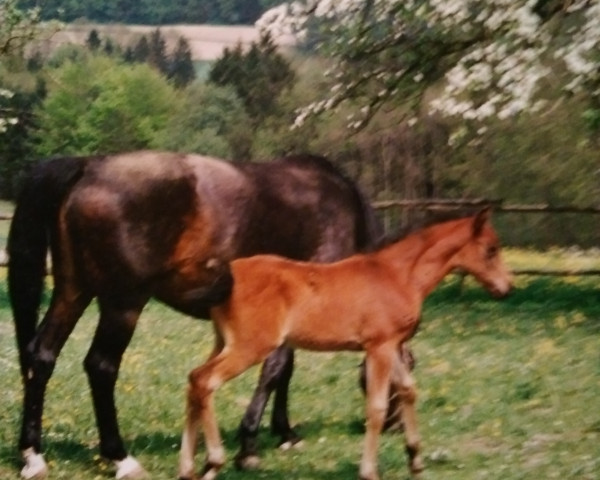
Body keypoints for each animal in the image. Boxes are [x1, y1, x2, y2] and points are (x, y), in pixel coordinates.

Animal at [7, 151, 382, 480]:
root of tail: (89, 165)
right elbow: (276, 369)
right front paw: (250, 446)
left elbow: (283, 370)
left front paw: (284, 432)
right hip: (122, 303)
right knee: (101, 366)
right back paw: (121, 458)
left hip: (73, 291)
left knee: (41, 356)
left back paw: (33, 455)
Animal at [177, 209, 510, 480]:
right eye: (491, 249)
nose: (506, 288)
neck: (396, 274)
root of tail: (228, 274)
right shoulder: (379, 347)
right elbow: (376, 406)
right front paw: (370, 471)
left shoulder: (391, 345)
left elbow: (408, 390)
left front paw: (415, 460)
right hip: (250, 347)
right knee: (206, 381)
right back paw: (213, 462)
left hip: (222, 342)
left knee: (194, 380)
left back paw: (188, 468)